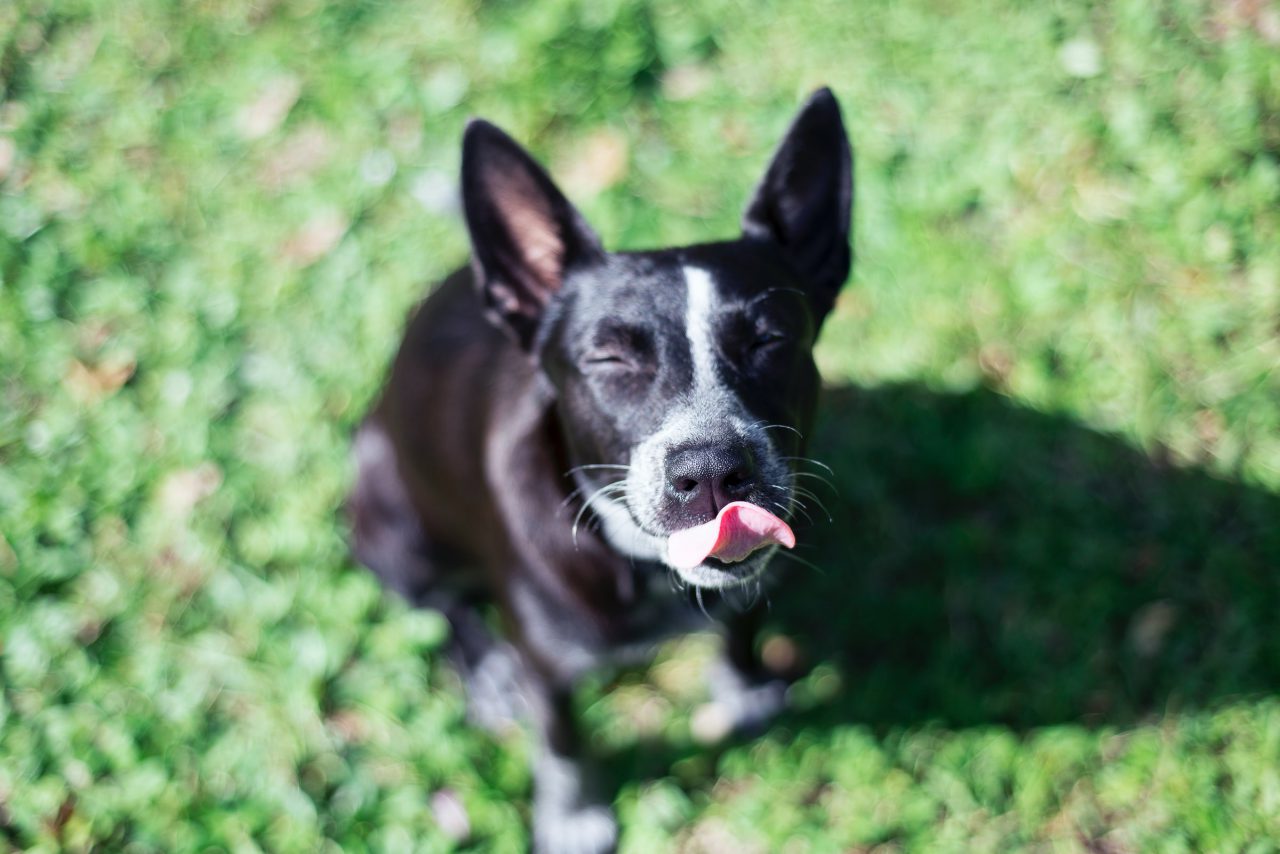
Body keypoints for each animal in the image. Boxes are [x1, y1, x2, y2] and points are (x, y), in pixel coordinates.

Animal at [345, 88, 855, 854]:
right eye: (610, 358)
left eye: (770, 341)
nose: (712, 469)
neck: (641, 567)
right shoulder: (547, 663)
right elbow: (561, 740)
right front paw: (574, 817)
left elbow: (739, 626)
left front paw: (745, 692)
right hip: (384, 504)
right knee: (437, 600)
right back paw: (486, 671)